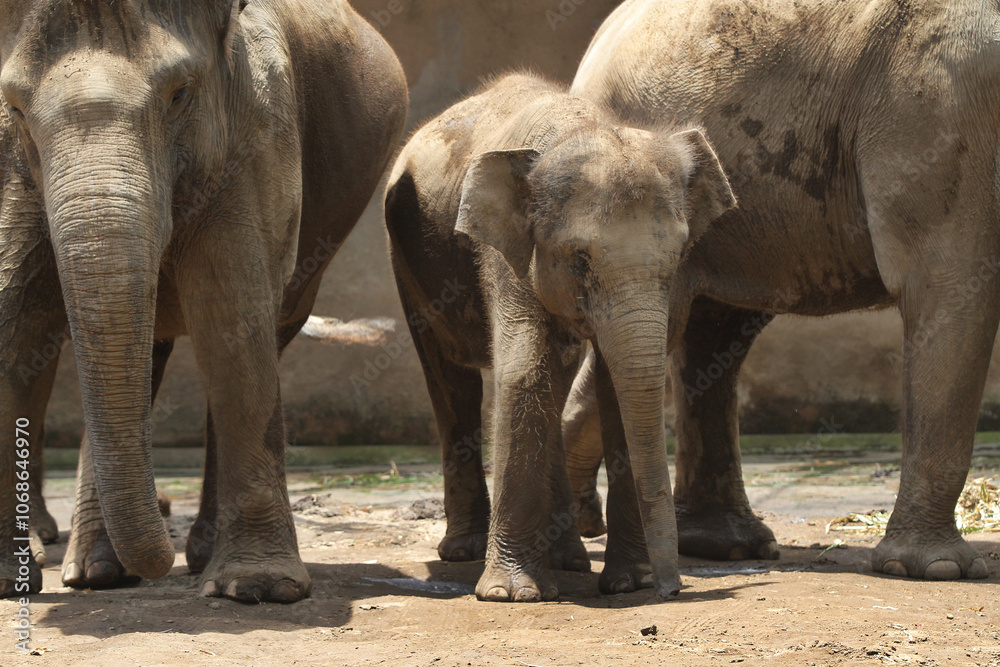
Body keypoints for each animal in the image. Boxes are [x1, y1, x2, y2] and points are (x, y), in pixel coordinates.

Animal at [0, 0, 407, 602]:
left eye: (179, 95)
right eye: (15, 107)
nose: (159, 557)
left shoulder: (256, 127)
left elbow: (230, 314)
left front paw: (259, 588)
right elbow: (16, 320)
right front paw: (11, 582)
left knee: (265, 331)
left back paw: (190, 560)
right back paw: (98, 573)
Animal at [385, 72, 736, 601]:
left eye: (676, 257)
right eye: (579, 259)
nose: (671, 589)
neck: (577, 127)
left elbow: (616, 386)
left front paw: (629, 583)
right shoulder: (506, 252)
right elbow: (525, 371)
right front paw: (512, 595)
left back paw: (567, 557)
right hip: (406, 258)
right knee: (452, 378)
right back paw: (465, 551)